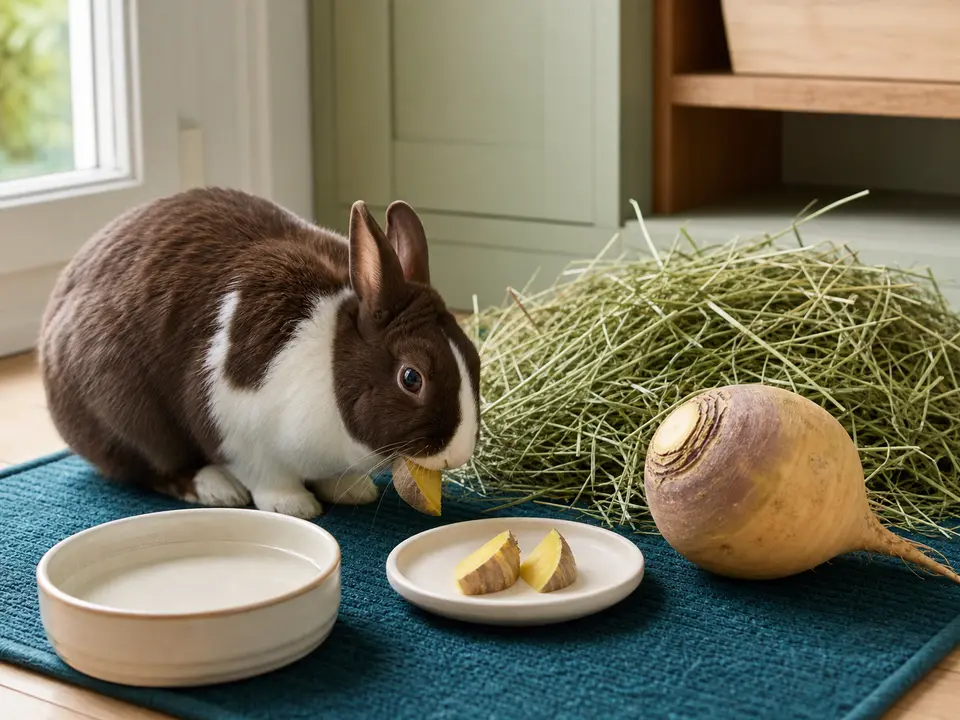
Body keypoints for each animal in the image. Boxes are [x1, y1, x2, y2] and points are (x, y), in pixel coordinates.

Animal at [37, 187, 481, 519]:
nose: (457, 453)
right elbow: (266, 476)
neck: (330, 363)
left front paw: (353, 491)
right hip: (131, 414)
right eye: (411, 377)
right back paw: (218, 489)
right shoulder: (236, 430)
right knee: (156, 466)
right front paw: (295, 506)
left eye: (473, 357)